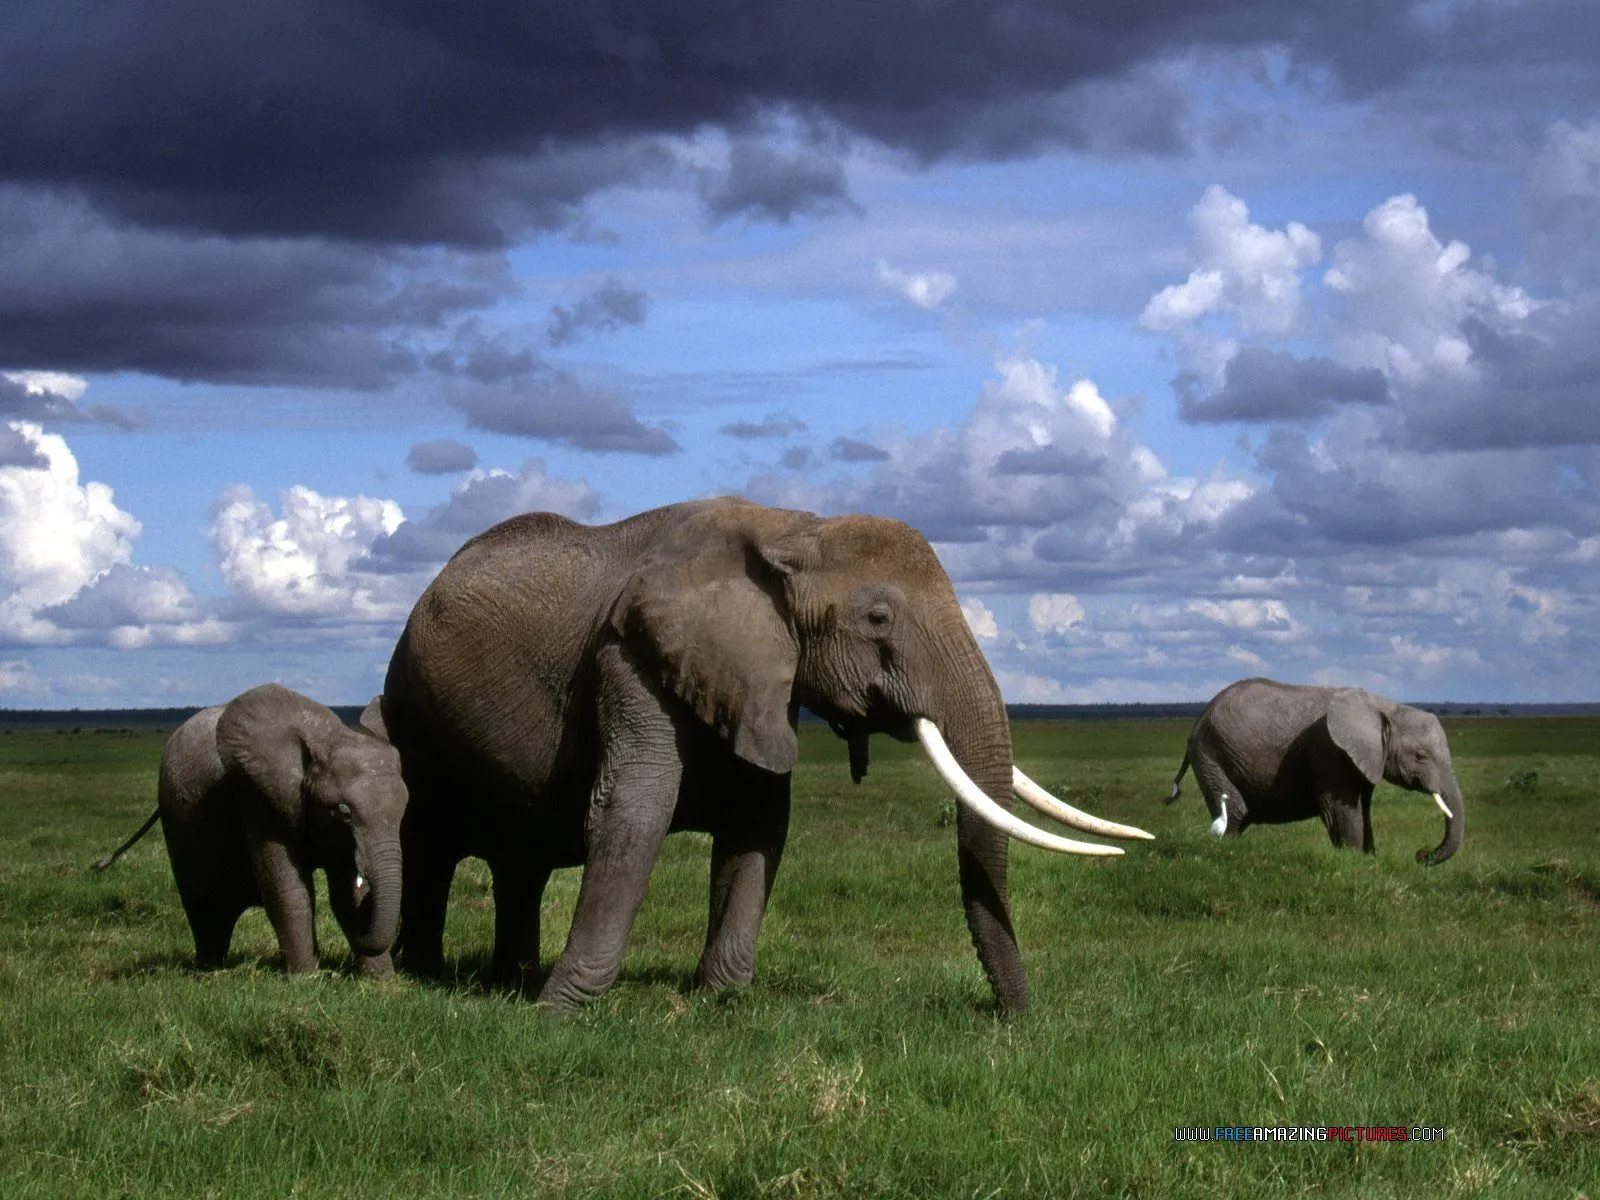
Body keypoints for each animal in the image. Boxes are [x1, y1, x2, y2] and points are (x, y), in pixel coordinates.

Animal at [93, 684, 409, 979]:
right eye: (343, 811)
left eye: (404, 808)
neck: (328, 739)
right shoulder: (259, 797)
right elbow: (288, 890)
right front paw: (306, 978)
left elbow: (347, 894)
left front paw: (380, 980)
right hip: (177, 817)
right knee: (204, 906)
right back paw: (208, 968)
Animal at [379, 499, 1145, 1017]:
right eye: (877, 619)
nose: (1014, 1017)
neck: (791, 529)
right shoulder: (632, 654)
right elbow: (633, 810)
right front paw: (562, 1011)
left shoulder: (751, 677)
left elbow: (759, 824)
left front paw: (719, 999)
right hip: (409, 709)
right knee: (431, 841)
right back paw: (422, 975)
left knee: (520, 862)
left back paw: (508, 978)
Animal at [1164, 678, 1465, 864]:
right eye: (1421, 756)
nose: (1421, 855)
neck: (1384, 706)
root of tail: (1198, 720)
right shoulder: (1331, 753)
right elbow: (1342, 811)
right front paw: (1353, 862)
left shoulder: (1364, 759)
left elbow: (1363, 809)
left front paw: (1369, 859)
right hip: (1210, 754)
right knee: (1235, 812)